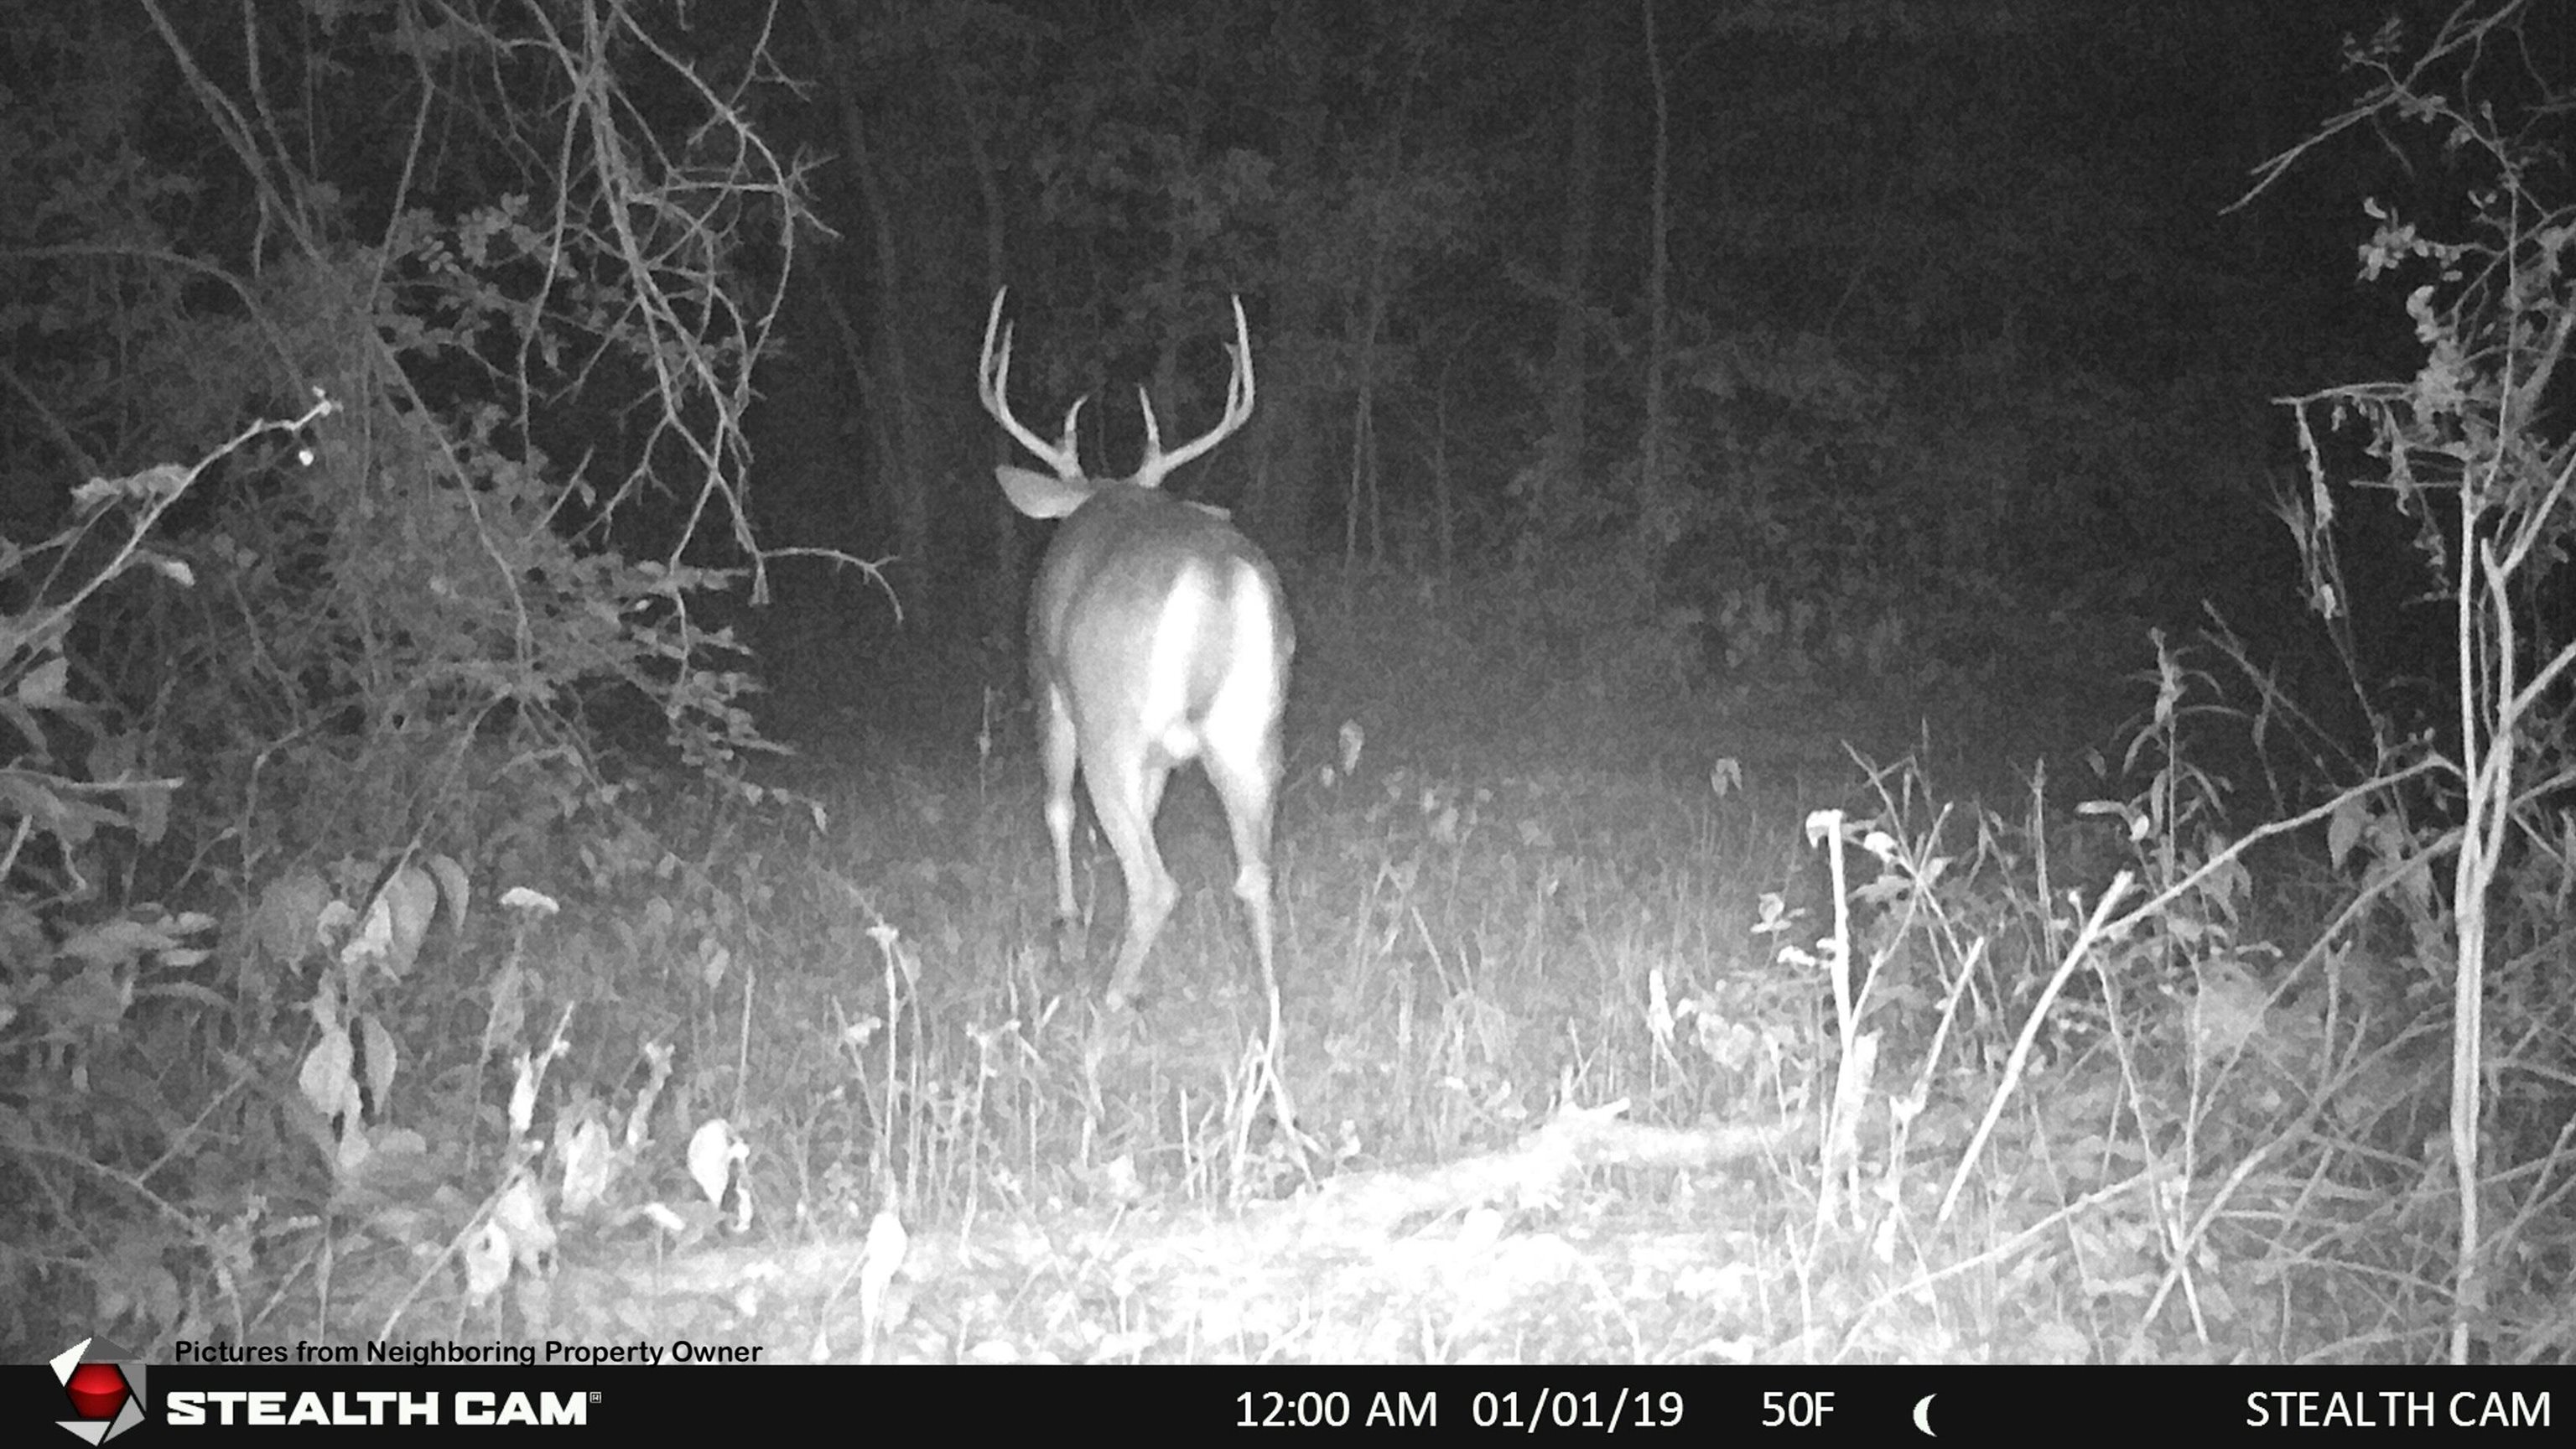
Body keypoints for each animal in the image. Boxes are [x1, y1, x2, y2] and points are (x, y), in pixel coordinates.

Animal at [976, 289, 1293, 1017]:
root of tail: (1217, 577)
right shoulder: (1164, 756)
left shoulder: (1049, 686)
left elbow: (1056, 808)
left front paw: (1067, 926)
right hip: (1251, 735)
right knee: (1256, 873)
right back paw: (1269, 1011)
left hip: (1110, 723)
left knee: (1156, 881)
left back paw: (1109, 1004)